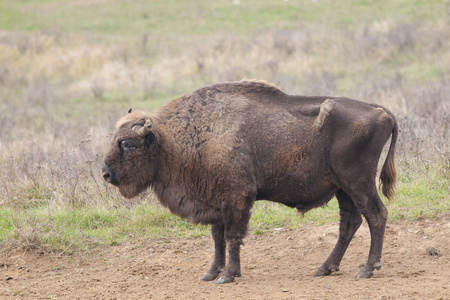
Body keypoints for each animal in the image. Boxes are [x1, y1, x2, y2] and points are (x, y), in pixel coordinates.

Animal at [103, 79, 398, 284]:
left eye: (128, 144)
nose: (106, 173)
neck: (173, 140)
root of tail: (381, 111)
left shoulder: (237, 198)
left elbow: (233, 236)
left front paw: (228, 275)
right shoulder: (217, 203)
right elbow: (217, 239)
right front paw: (210, 273)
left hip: (357, 182)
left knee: (376, 215)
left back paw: (367, 270)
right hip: (342, 188)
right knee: (350, 223)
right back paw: (325, 268)